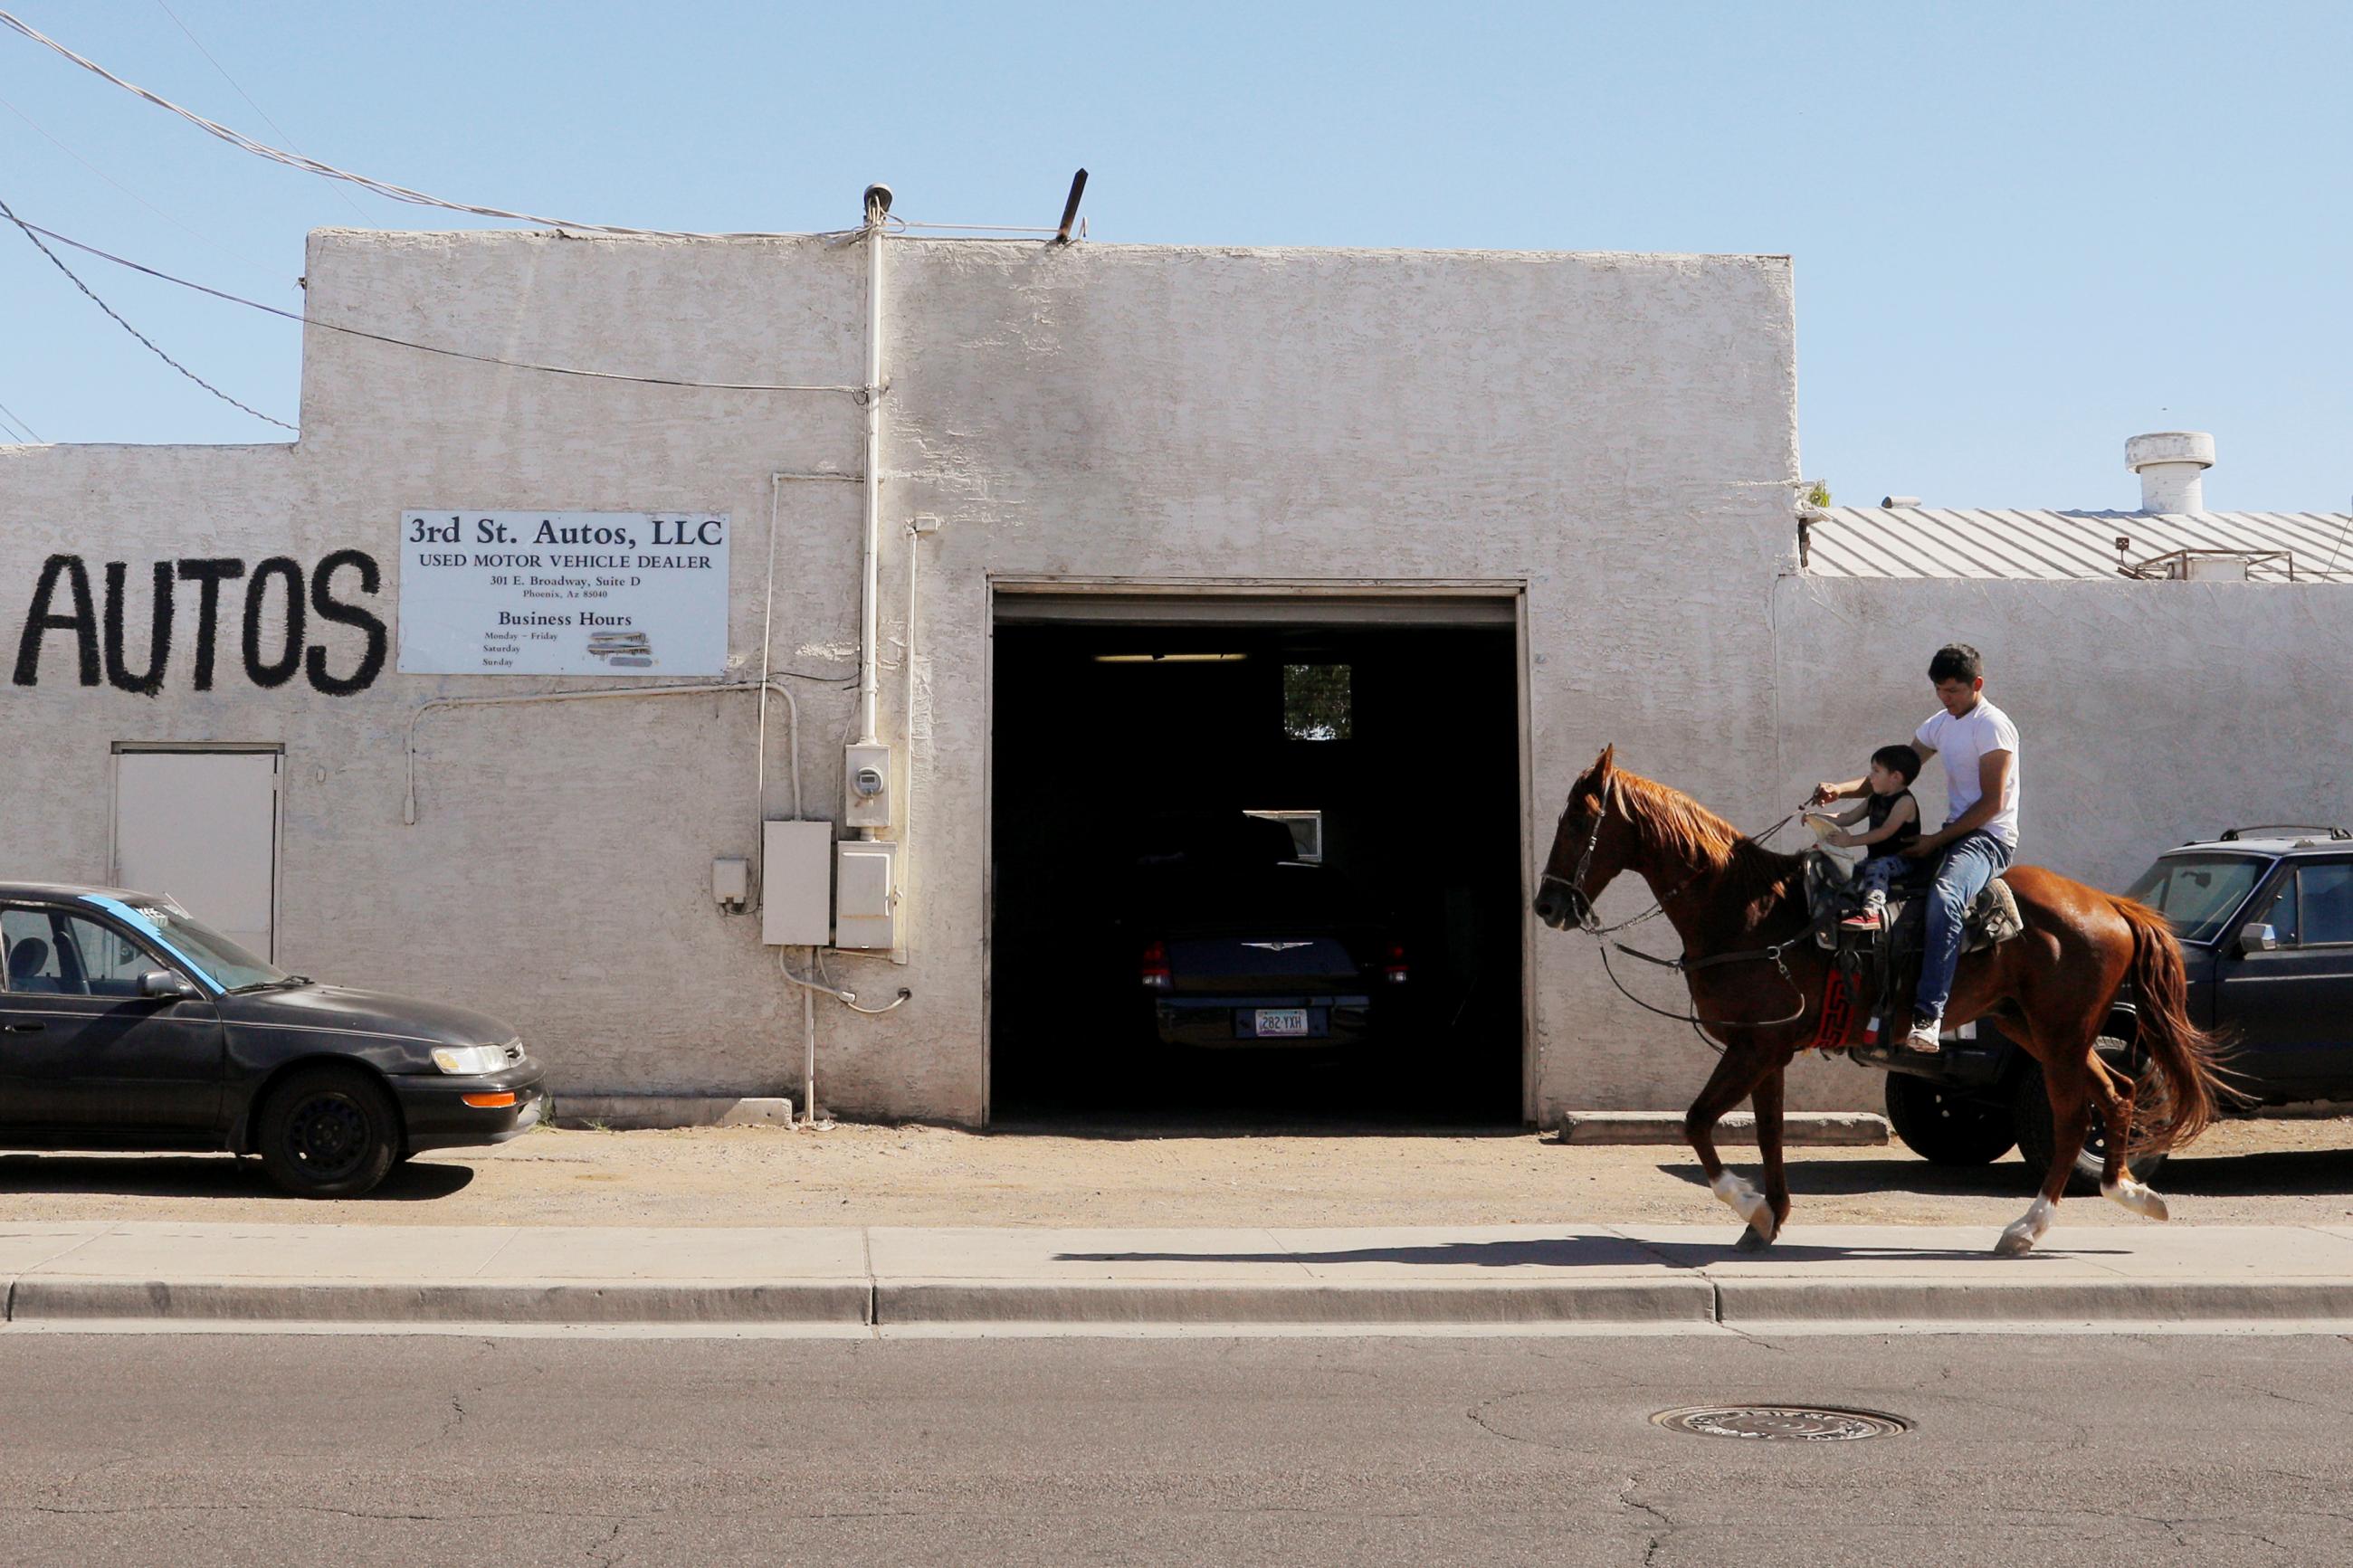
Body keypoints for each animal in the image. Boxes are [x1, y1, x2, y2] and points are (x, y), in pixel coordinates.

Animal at [1524, 752, 2221, 1259]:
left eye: (1577, 823)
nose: (1547, 905)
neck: (1746, 909)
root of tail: (2111, 905)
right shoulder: (1768, 1047)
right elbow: (1768, 1133)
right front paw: (1767, 1218)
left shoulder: (1754, 1045)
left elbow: (1697, 1122)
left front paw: (1749, 1204)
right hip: (2033, 1027)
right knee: (2117, 1093)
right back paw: (2131, 1192)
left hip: (2059, 1033)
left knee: (2075, 1116)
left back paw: (2027, 1228)